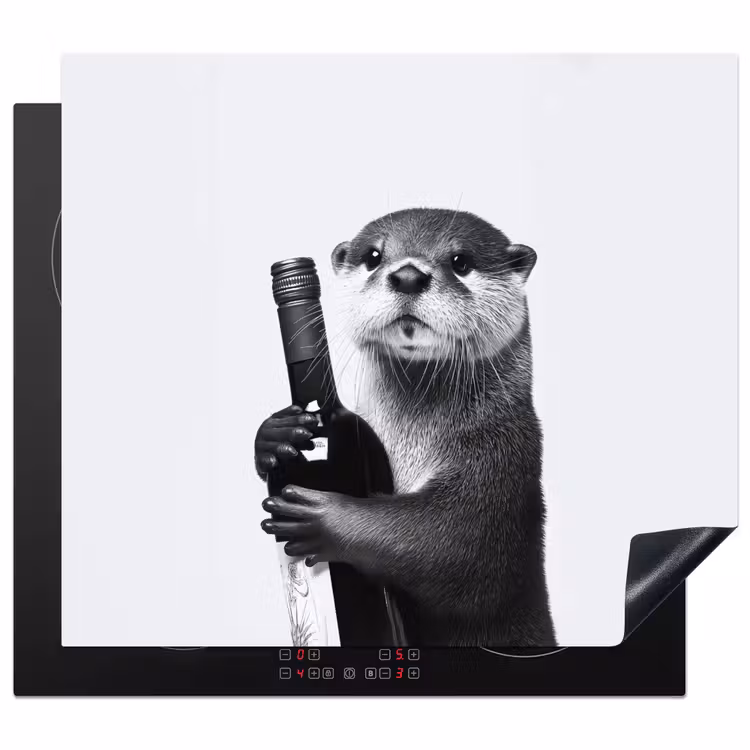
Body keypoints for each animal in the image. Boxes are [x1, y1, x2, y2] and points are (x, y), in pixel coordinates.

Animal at [256, 208, 556, 647]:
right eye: (374, 256)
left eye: (460, 261)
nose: (409, 275)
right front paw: (274, 435)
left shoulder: (502, 460)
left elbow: (450, 543)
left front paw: (327, 518)